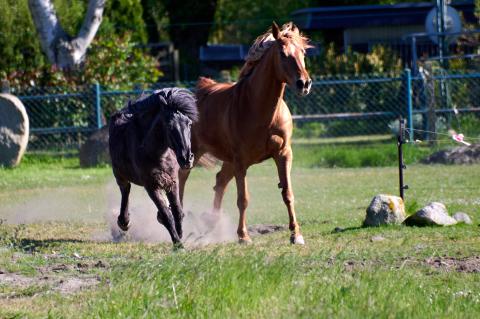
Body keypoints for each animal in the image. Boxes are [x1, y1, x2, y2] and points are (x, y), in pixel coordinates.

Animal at [108, 89, 197, 249]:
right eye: (169, 126)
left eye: (189, 123)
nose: (187, 158)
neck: (156, 152)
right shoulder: (152, 186)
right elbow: (167, 216)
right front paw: (178, 244)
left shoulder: (172, 181)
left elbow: (177, 210)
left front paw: (180, 233)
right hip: (119, 174)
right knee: (125, 190)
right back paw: (124, 222)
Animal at [179, 22, 312, 245]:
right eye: (282, 53)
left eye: (302, 52)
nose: (304, 83)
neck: (259, 109)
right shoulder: (241, 161)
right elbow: (243, 199)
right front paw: (243, 236)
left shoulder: (283, 154)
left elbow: (288, 193)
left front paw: (296, 235)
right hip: (195, 154)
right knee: (181, 180)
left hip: (229, 161)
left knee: (220, 182)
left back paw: (211, 223)